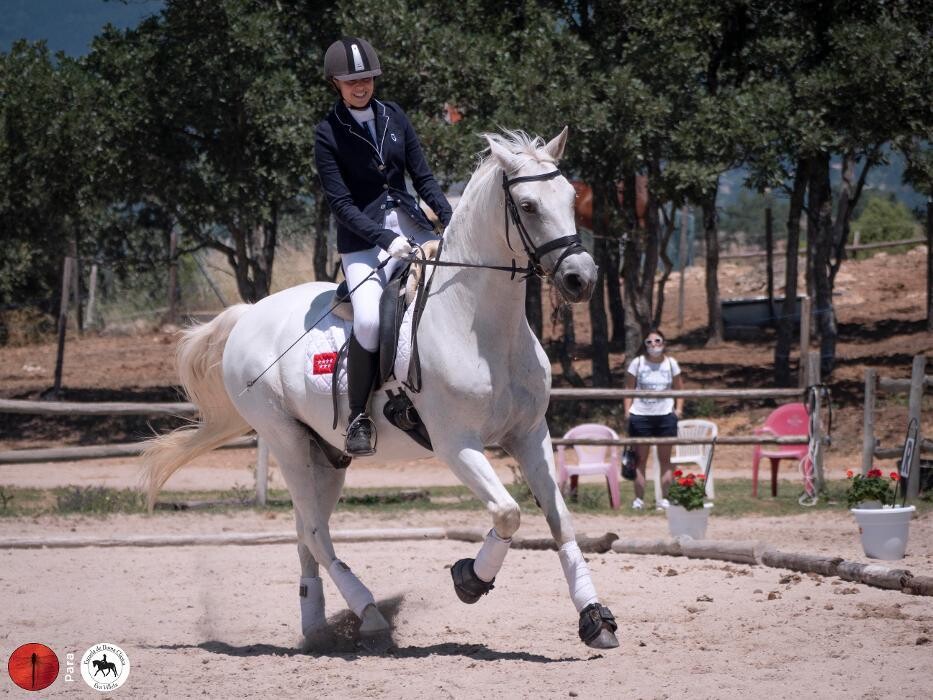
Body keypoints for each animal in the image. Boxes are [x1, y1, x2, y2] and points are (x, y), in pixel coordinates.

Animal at [140, 127, 620, 652]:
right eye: (529, 206)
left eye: (572, 198)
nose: (581, 279)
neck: (480, 325)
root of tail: (250, 314)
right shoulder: (457, 444)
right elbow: (508, 513)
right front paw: (469, 580)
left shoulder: (530, 434)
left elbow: (559, 519)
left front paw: (594, 617)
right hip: (285, 439)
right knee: (315, 530)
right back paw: (369, 614)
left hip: (325, 454)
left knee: (307, 531)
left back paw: (317, 628)